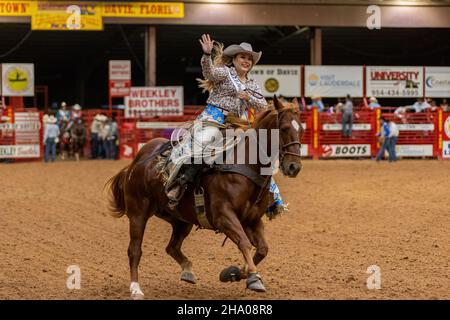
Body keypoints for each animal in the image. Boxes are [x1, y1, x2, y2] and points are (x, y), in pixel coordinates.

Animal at [105, 96, 302, 298]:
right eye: (284, 128)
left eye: (301, 129)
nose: (294, 167)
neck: (245, 165)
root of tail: (137, 161)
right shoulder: (224, 217)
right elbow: (244, 243)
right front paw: (254, 277)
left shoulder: (252, 220)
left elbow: (262, 249)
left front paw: (233, 273)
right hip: (138, 213)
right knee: (135, 250)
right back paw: (136, 288)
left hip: (180, 219)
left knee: (172, 247)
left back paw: (187, 271)